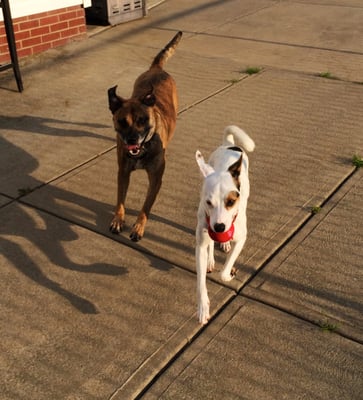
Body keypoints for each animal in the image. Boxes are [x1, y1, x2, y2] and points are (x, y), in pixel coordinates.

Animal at [107, 30, 182, 241]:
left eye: (143, 120)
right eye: (122, 121)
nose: (132, 140)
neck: (143, 148)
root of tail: (156, 69)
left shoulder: (156, 180)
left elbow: (146, 206)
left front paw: (139, 226)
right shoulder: (123, 173)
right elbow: (120, 200)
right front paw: (118, 219)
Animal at [196, 126, 256, 324]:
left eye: (231, 202)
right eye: (208, 202)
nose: (220, 228)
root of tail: (228, 144)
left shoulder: (241, 239)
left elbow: (225, 270)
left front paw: (229, 275)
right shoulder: (201, 241)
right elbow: (200, 283)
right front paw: (203, 307)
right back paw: (211, 259)